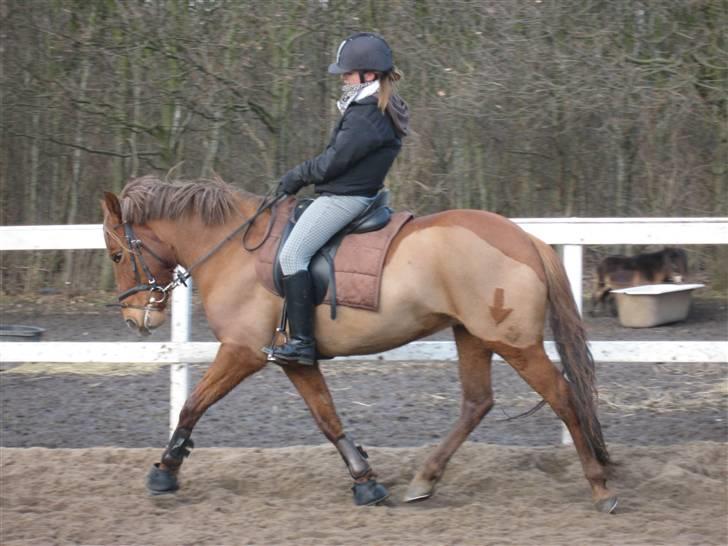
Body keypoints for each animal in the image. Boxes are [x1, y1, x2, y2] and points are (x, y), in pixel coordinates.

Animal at [101, 175, 618, 513]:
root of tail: (526, 239)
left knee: (564, 396)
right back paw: (425, 479)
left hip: (514, 343)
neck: (233, 249)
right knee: (477, 402)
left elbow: (192, 405)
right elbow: (328, 419)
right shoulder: (295, 360)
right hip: (472, 334)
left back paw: (601, 487)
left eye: (118, 254)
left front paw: (165, 471)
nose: (136, 319)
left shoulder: (242, 352)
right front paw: (366, 483)